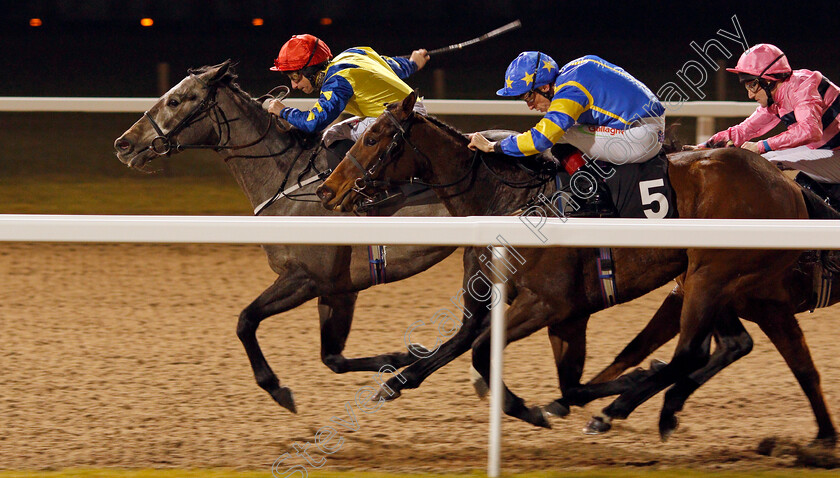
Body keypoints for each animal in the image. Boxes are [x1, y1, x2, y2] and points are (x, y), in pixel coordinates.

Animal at [114, 61, 456, 414]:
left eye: (175, 100)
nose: (123, 144)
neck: (288, 182)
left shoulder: (306, 278)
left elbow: (246, 320)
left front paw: (276, 387)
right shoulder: (338, 288)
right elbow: (333, 358)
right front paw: (405, 354)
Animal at [316, 90, 840, 444]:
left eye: (376, 138)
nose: (327, 190)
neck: (509, 203)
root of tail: (788, 187)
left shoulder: (549, 304)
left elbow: (484, 354)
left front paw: (535, 409)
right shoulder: (545, 311)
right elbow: (461, 345)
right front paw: (393, 382)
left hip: (713, 277)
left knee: (690, 354)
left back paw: (624, 402)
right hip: (707, 280)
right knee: (725, 345)